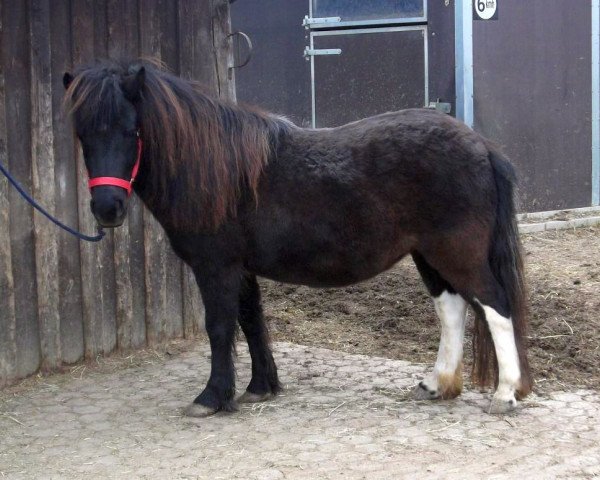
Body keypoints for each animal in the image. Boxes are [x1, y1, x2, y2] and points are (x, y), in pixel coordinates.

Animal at [63, 59, 532, 416]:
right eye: (83, 135)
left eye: (131, 131)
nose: (107, 209)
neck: (218, 170)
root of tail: (481, 145)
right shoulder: (241, 269)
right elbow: (251, 321)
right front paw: (260, 386)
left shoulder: (216, 267)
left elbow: (220, 327)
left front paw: (212, 397)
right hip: (429, 255)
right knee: (451, 308)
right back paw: (436, 384)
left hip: (457, 253)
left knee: (495, 305)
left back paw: (505, 393)